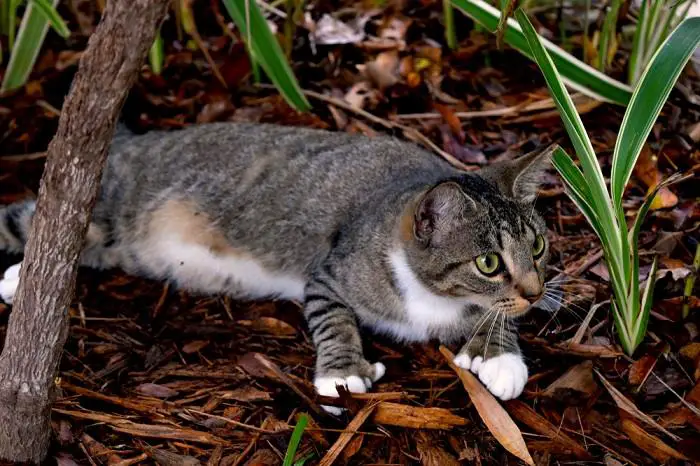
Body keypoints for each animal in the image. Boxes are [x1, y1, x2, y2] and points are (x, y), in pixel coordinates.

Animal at [0, 122, 552, 414]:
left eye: (539, 246)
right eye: (488, 262)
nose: (535, 291)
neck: (433, 298)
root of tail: (128, 140)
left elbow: (497, 317)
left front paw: (499, 356)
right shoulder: (328, 276)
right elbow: (334, 319)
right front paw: (344, 374)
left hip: (120, 246)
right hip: (104, 206)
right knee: (34, 222)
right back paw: (22, 276)